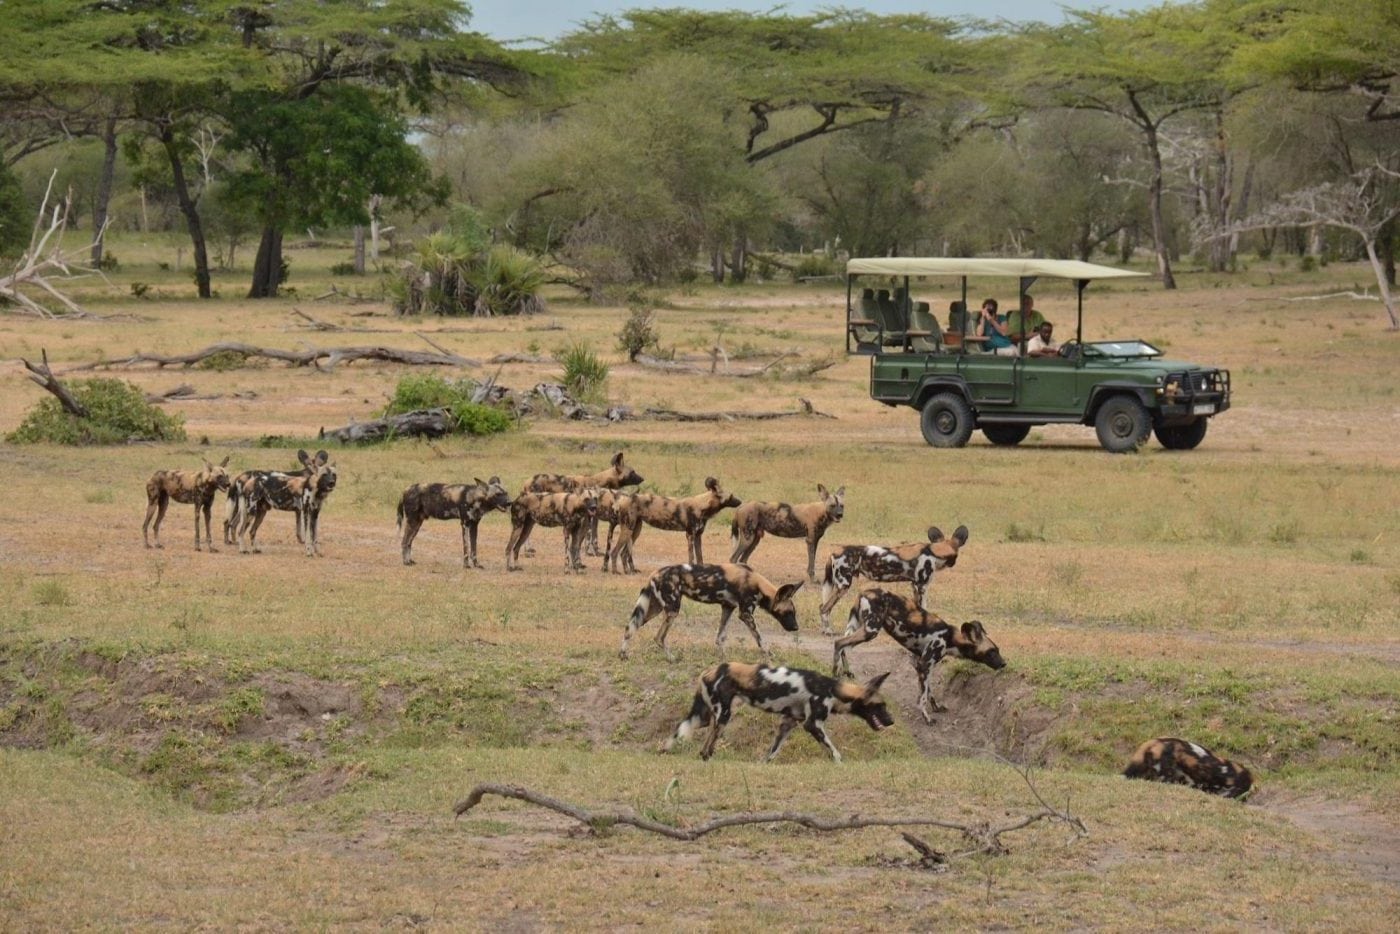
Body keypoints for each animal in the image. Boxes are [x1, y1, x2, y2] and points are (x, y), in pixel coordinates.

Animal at [621, 560, 806, 660]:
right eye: (789, 613)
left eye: (794, 613)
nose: (796, 627)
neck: (757, 584)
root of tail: (654, 573)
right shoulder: (746, 614)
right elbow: (760, 639)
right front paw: (769, 654)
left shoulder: (728, 608)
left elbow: (720, 637)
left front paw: (723, 658)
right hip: (672, 610)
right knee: (658, 637)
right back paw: (672, 658)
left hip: (655, 609)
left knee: (630, 628)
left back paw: (623, 655)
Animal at [660, 660, 890, 761]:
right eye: (881, 706)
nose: (891, 721)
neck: (834, 690)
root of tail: (709, 671)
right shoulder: (812, 725)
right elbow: (835, 752)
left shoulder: (788, 723)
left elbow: (772, 753)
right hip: (722, 715)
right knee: (705, 748)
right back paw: (707, 759)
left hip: (705, 717)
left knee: (680, 730)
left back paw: (665, 750)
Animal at [817, 526, 968, 635]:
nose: (953, 564)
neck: (935, 551)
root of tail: (835, 551)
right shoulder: (921, 586)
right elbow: (924, 609)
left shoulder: (914, 586)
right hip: (843, 586)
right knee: (824, 608)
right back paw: (828, 631)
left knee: (823, 606)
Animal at [828, 588, 1008, 728]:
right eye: (992, 652)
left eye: (997, 650)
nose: (1004, 664)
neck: (950, 638)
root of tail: (864, 592)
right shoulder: (924, 664)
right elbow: (922, 697)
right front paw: (927, 718)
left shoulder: (921, 664)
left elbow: (929, 691)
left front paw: (936, 707)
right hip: (871, 631)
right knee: (839, 643)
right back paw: (835, 672)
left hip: (862, 627)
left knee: (843, 645)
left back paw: (846, 671)